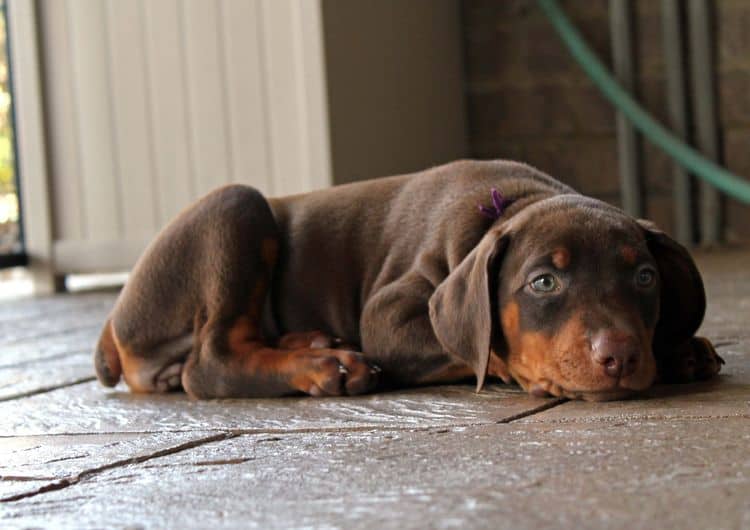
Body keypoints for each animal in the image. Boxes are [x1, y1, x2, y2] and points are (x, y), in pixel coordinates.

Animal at [92, 159, 724, 398]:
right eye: (544, 282)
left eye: (645, 277)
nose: (620, 356)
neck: (511, 203)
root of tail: (117, 315)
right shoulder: (389, 313)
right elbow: (480, 347)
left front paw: (678, 349)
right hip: (235, 207)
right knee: (209, 363)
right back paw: (324, 364)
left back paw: (311, 342)